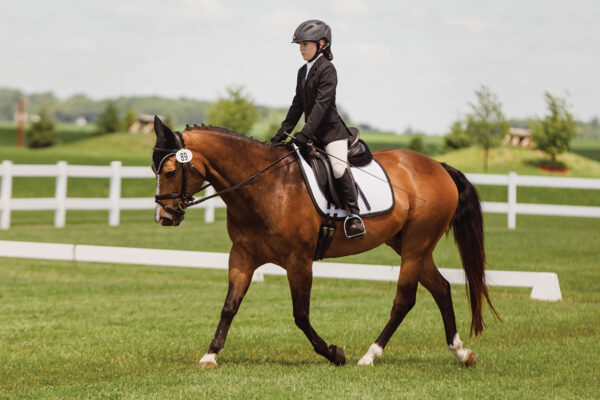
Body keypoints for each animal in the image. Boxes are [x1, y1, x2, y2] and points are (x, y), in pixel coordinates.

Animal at [152, 116, 500, 368]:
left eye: (169, 171)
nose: (164, 217)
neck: (267, 186)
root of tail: (438, 166)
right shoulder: (242, 256)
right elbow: (229, 306)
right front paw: (210, 354)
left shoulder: (299, 261)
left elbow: (300, 315)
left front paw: (335, 353)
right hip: (408, 244)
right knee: (441, 288)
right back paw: (461, 353)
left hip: (416, 244)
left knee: (404, 300)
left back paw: (369, 356)